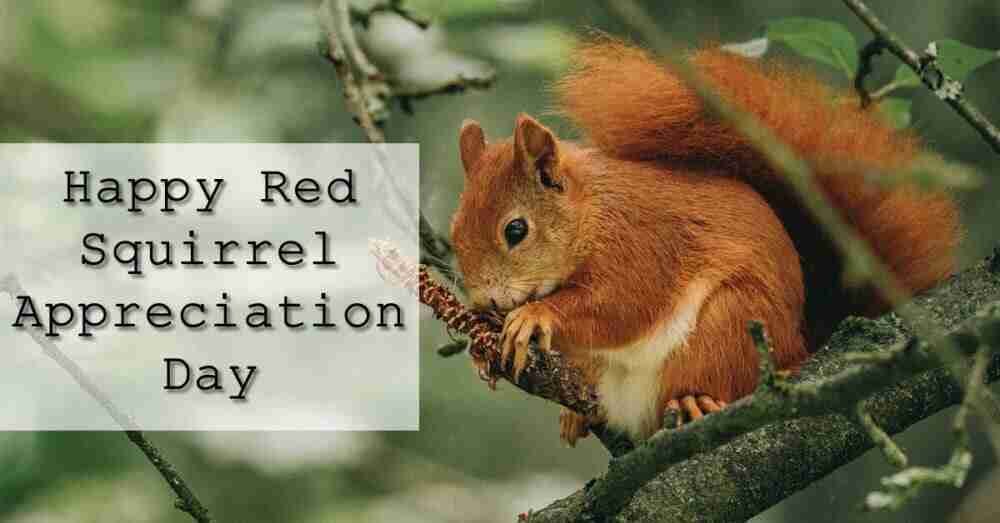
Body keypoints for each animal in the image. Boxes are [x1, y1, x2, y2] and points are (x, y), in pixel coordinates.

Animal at [449, 39, 960, 445]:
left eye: (516, 230)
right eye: (453, 232)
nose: (485, 299)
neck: (591, 215)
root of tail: (802, 345)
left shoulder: (641, 245)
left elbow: (621, 306)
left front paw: (534, 315)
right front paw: (481, 343)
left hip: (730, 326)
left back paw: (696, 401)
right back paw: (577, 414)